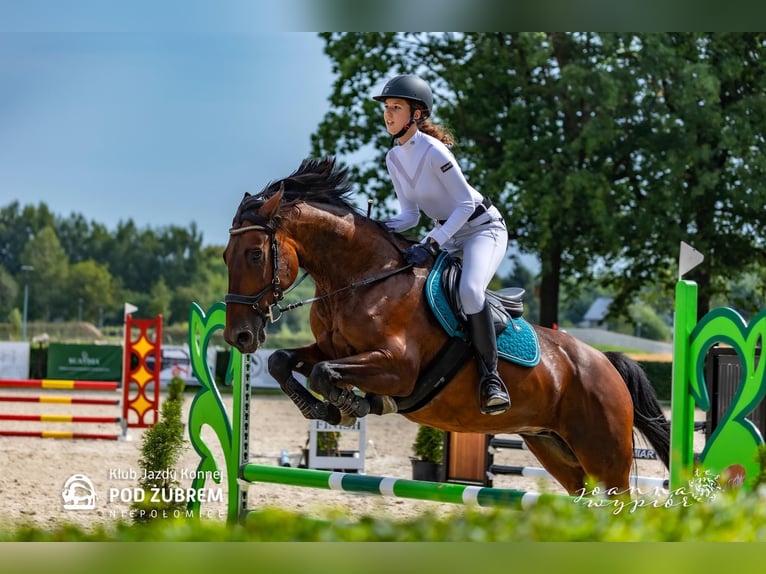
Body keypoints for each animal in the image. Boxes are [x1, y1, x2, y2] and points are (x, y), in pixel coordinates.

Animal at [224, 156, 672, 496]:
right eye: (227, 255)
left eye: (254, 254)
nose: (239, 336)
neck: (363, 279)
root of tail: (605, 363)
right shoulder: (333, 349)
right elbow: (285, 361)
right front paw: (322, 408)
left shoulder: (397, 368)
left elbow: (322, 372)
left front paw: (350, 406)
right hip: (555, 449)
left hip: (605, 455)